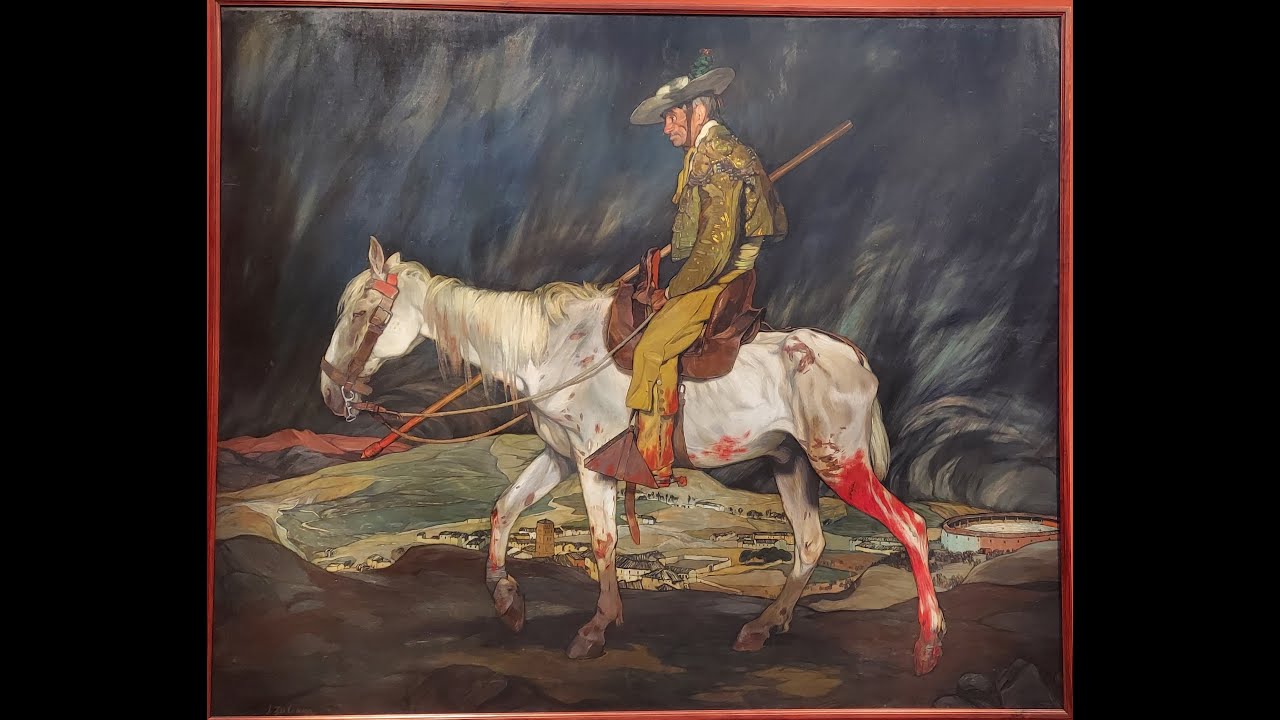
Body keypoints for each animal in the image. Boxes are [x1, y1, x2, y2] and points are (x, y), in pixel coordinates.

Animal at [319, 237, 946, 675]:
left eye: (361, 313)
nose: (329, 392)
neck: (554, 349)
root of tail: (854, 358)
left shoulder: (593, 463)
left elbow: (603, 541)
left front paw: (596, 627)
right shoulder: (559, 457)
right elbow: (504, 509)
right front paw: (507, 600)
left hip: (840, 465)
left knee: (912, 528)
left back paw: (928, 645)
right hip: (792, 466)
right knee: (810, 543)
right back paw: (763, 628)